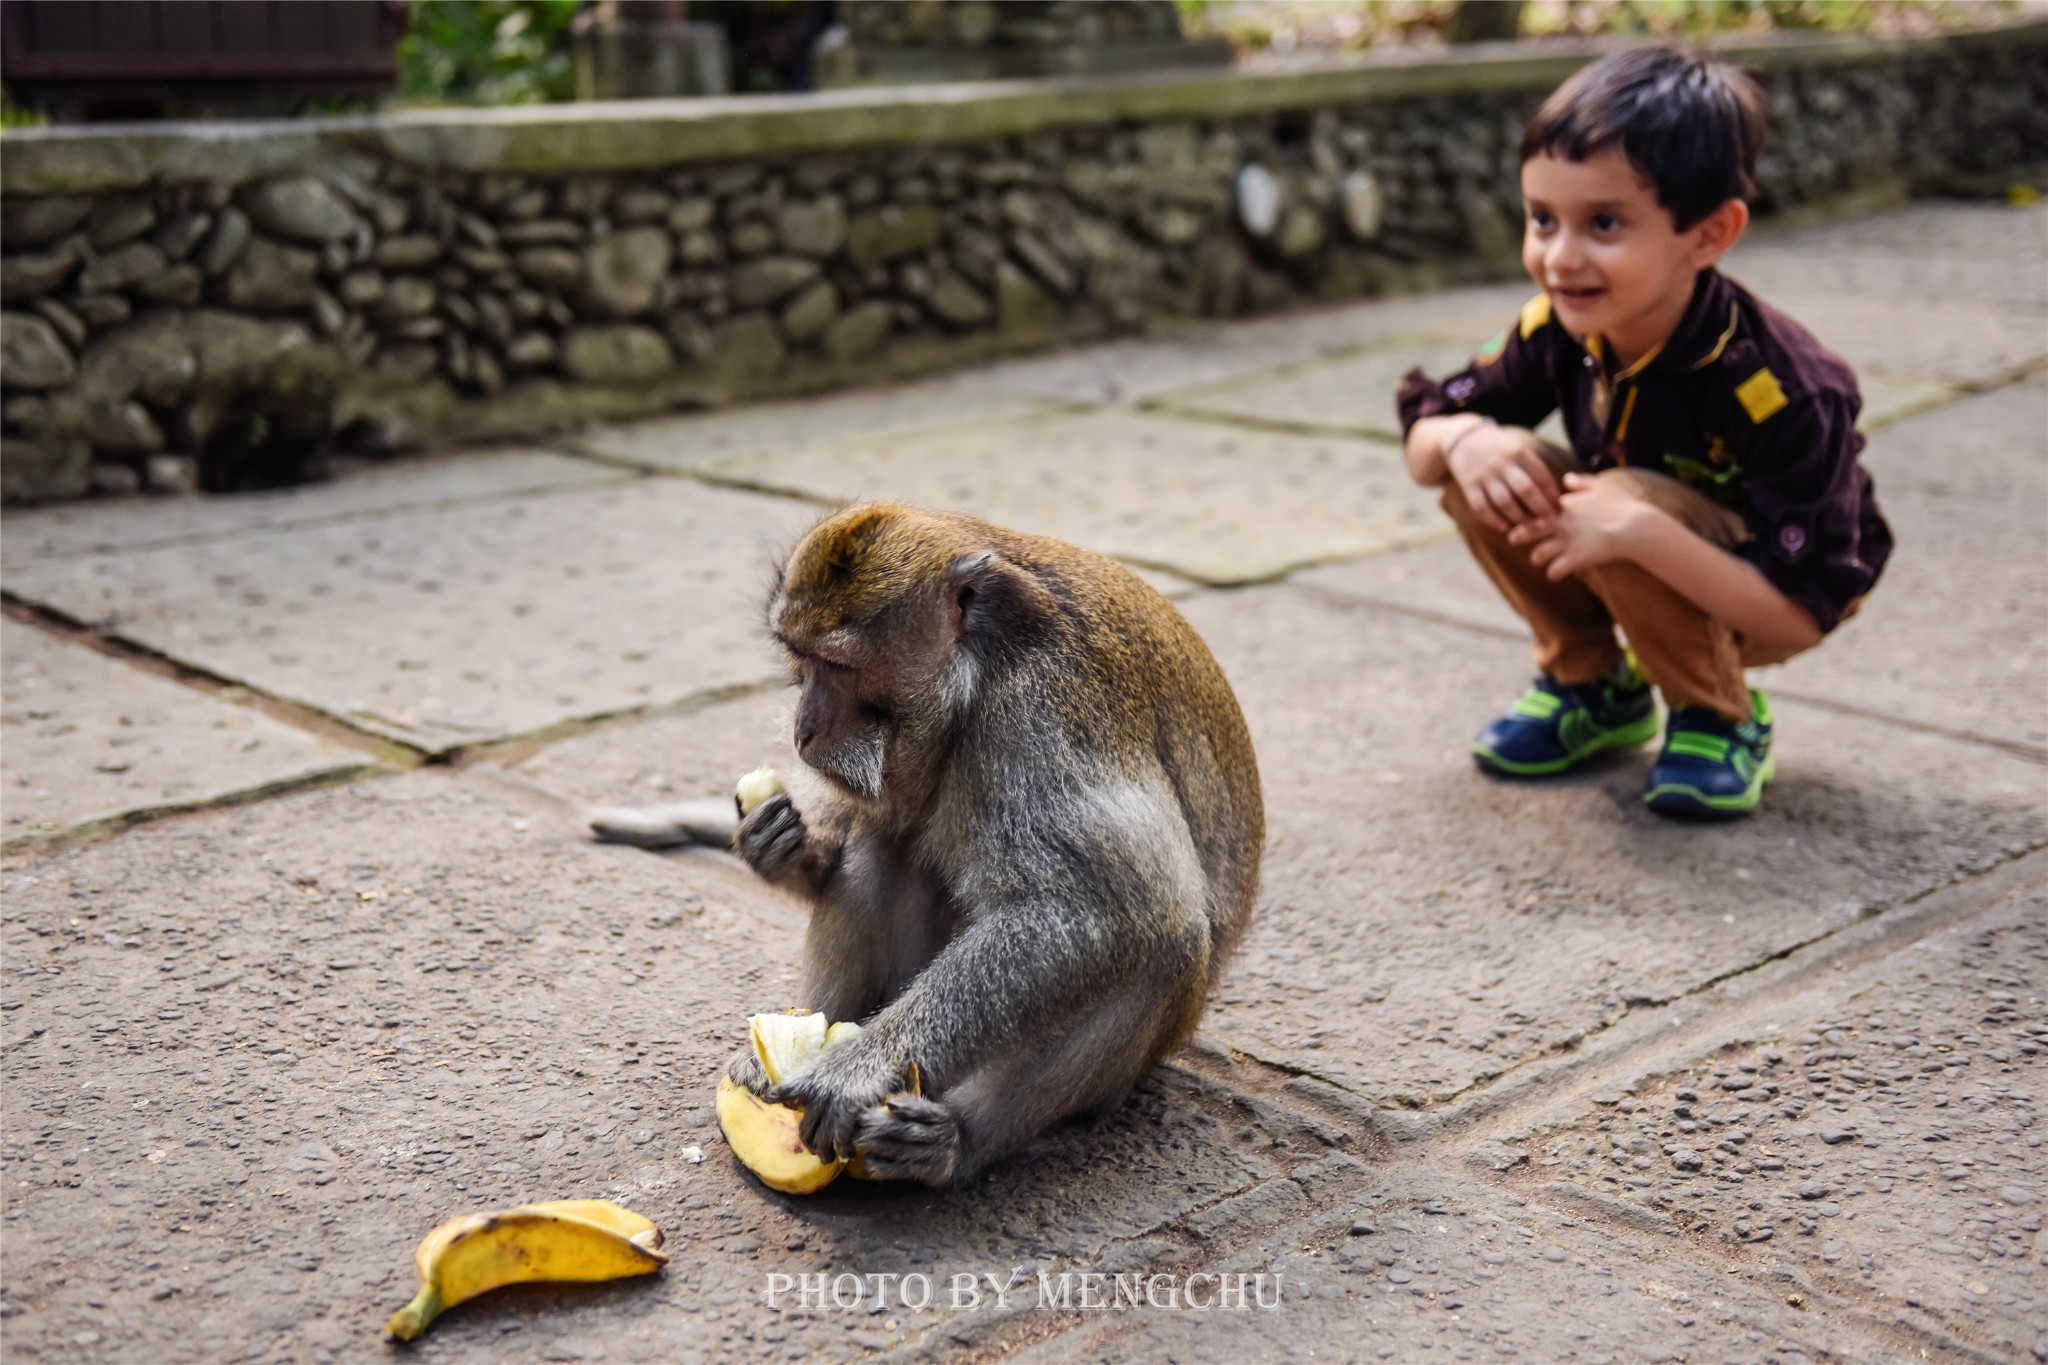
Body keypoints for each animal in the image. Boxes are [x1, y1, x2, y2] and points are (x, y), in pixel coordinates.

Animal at [598, 507, 1261, 1186]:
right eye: (798, 657)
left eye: (837, 666)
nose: (803, 730)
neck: (977, 677)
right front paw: (779, 847)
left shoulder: (1039, 717)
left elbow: (1112, 908)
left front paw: (859, 1068)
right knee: (884, 845)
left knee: (1167, 945)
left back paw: (956, 1142)